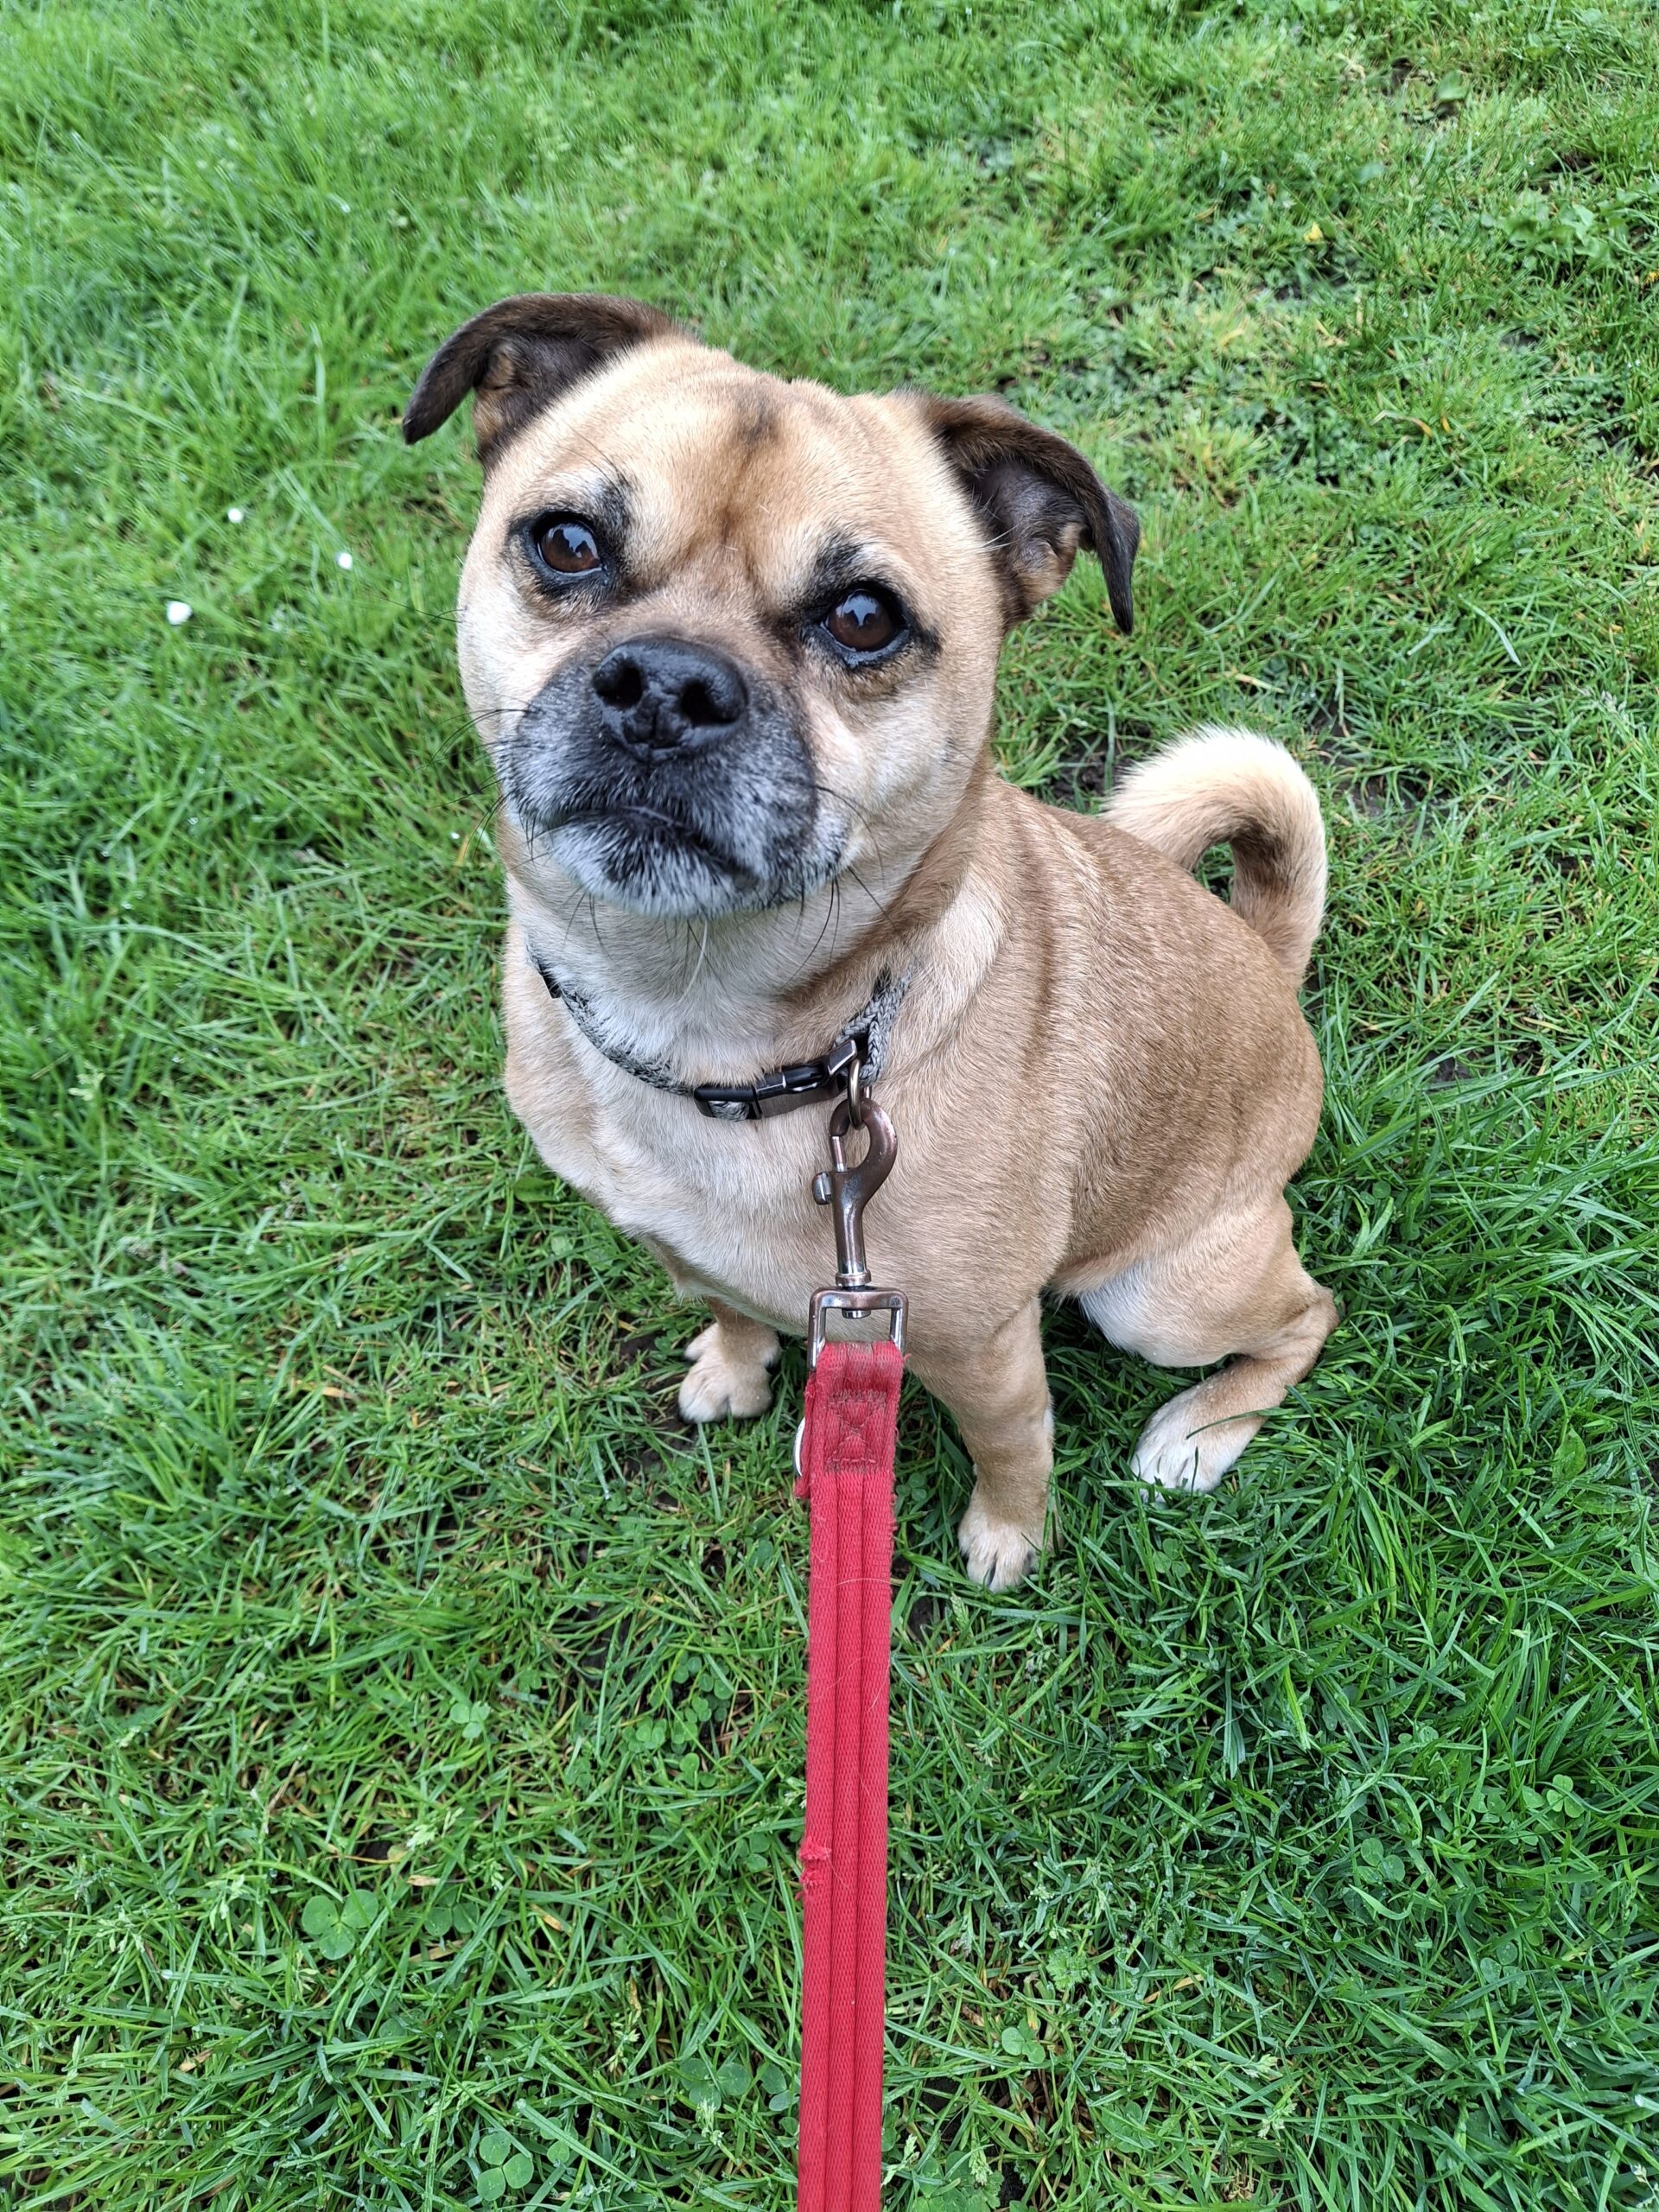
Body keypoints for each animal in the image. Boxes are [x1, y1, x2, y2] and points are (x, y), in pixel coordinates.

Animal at [403, 292, 1338, 1590]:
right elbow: (734, 1305)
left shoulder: (982, 1346)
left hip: (1159, 1297)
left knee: (1309, 1314)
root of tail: (1269, 964)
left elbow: (1015, 1445)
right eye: (568, 544)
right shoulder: (687, 1253)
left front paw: (1008, 1541)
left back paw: (1201, 1434)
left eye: (863, 620)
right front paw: (736, 1371)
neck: (711, 1031)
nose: (666, 688)